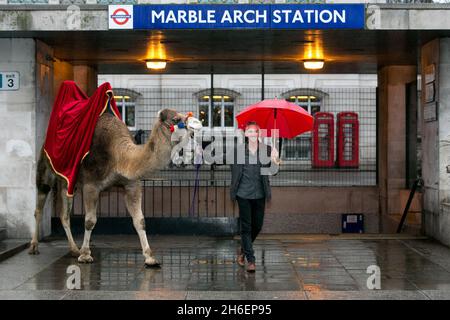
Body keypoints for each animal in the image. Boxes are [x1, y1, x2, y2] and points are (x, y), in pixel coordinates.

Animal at [29, 109, 202, 266]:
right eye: (176, 119)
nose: (197, 126)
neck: (118, 154)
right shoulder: (91, 185)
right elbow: (90, 221)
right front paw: (85, 255)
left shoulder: (132, 185)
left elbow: (140, 220)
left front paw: (150, 258)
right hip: (45, 169)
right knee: (39, 205)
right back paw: (34, 246)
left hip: (69, 183)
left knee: (64, 213)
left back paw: (73, 249)